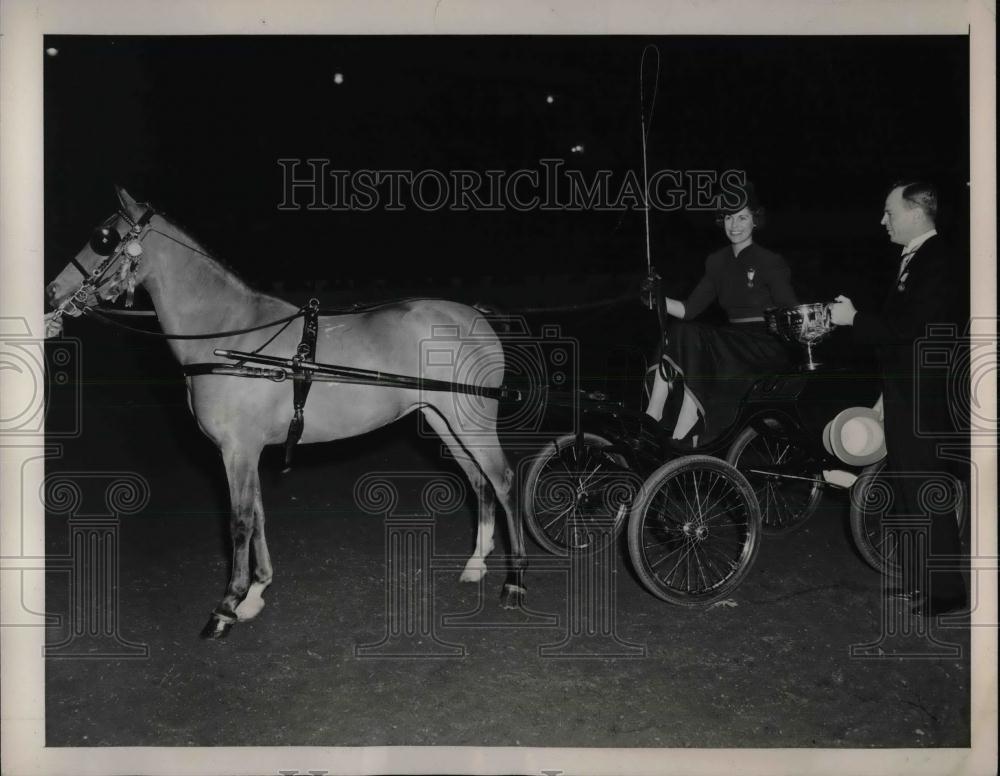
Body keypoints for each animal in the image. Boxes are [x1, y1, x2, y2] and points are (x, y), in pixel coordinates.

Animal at [45, 185, 532, 640]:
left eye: (103, 238)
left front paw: (226, 607)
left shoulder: (237, 449)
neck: (230, 336)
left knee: (503, 480)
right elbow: (258, 514)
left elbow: (240, 521)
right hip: (441, 418)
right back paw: (476, 564)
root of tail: (477, 316)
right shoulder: (246, 449)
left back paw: (515, 581)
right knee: (478, 481)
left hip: (471, 420)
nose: (52, 292)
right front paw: (256, 594)